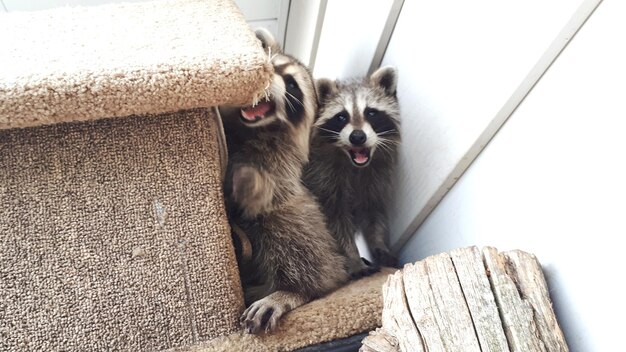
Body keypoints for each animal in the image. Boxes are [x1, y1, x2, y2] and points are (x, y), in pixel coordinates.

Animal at [218, 28, 346, 334]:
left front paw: (248, 184)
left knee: (296, 238)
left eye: (291, 84)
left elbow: (267, 187)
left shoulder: (281, 165)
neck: (250, 129)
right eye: (271, 66)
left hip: (296, 216)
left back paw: (294, 290)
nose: (264, 77)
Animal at [302, 66, 400, 278]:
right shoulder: (322, 178)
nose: (357, 137)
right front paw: (353, 258)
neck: (355, 166)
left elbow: (375, 213)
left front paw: (379, 244)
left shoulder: (376, 177)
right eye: (341, 117)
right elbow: (336, 223)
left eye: (371, 112)